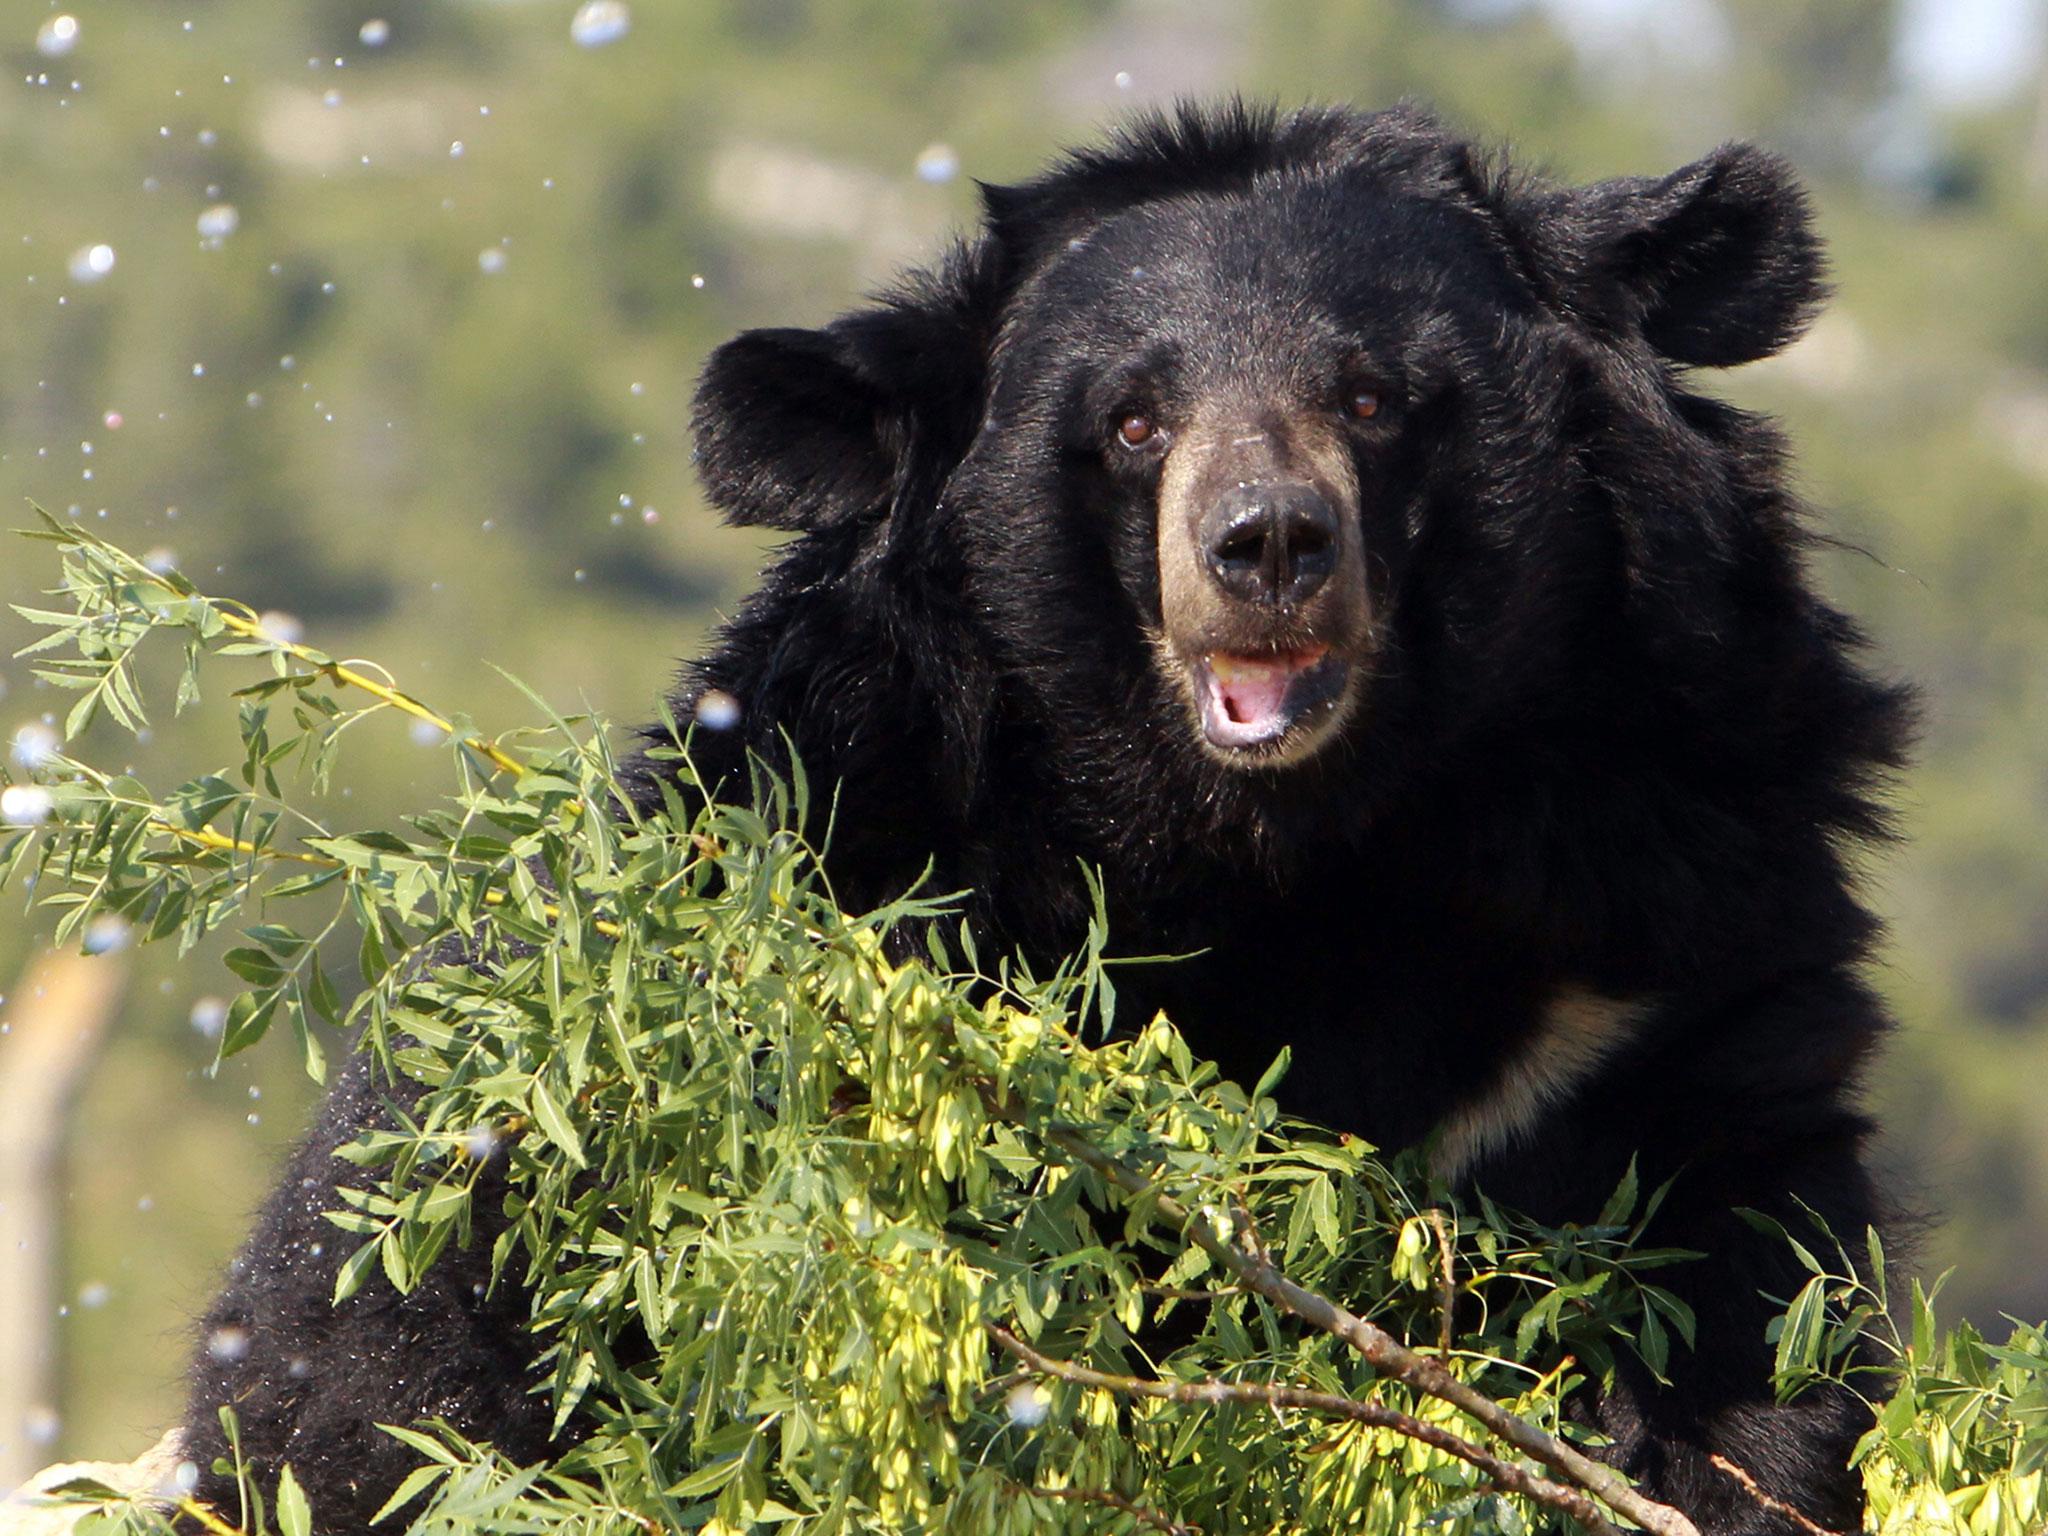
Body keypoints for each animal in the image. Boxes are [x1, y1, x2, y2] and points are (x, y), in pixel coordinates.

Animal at [184, 102, 1908, 1531]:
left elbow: (1752, 1294)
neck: (1289, 847)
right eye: (1135, 421)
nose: (1266, 546)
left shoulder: (1655, 938)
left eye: (1372, 396)